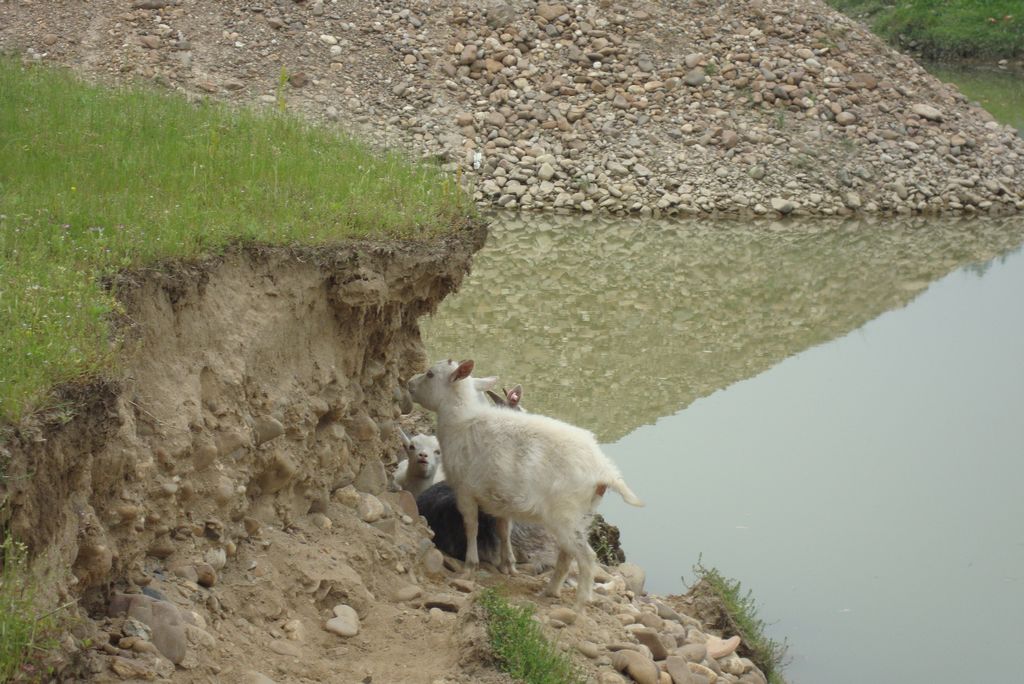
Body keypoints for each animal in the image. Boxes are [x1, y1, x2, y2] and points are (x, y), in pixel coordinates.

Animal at [405, 358, 638, 602]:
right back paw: (551, 590)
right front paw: (509, 566)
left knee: (586, 557)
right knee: (567, 555)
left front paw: (470, 566)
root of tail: (605, 471)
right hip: (583, 515)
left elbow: (472, 526)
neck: (461, 421)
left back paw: (581, 601)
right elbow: (503, 530)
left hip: (566, 514)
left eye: (430, 374)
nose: (409, 384)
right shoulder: (499, 497)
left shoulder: (465, 489)